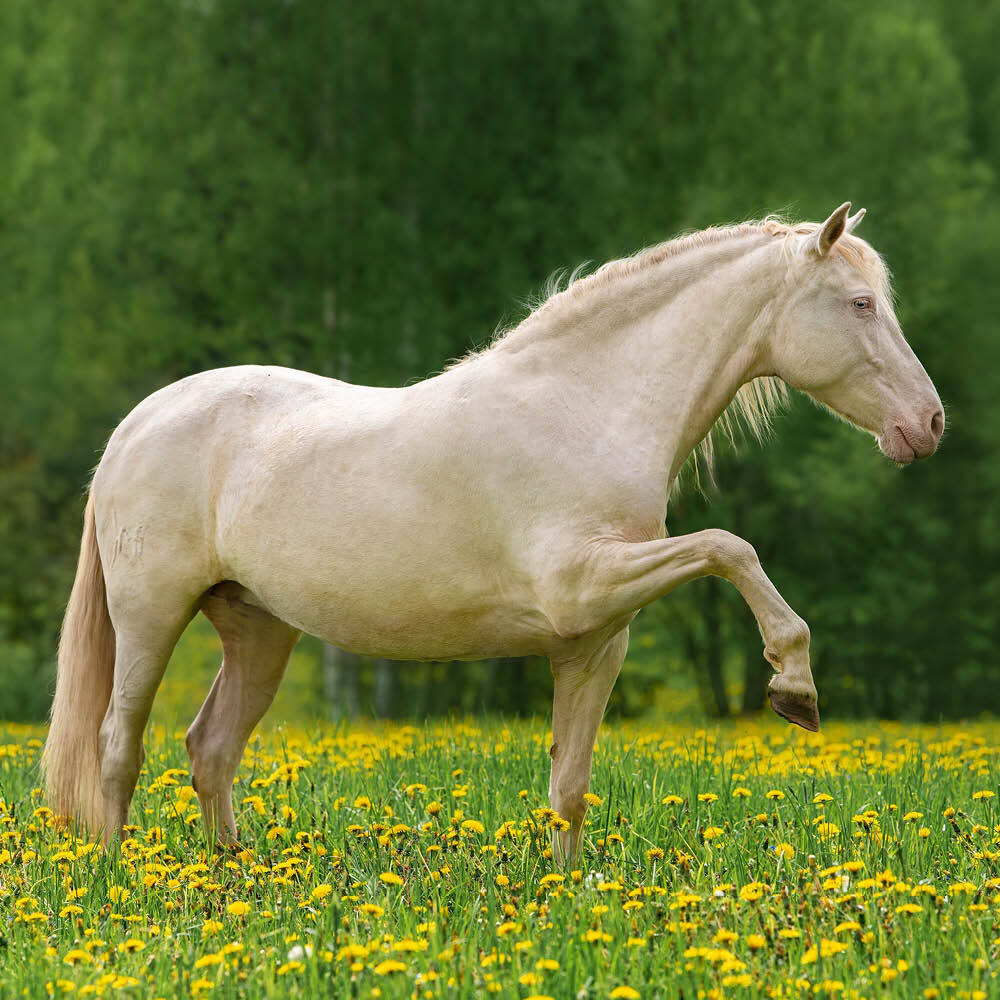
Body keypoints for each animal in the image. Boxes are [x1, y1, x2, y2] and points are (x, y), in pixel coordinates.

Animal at [42, 202, 943, 859]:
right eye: (860, 303)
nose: (928, 424)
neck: (587, 408)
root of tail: (135, 426)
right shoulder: (584, 585)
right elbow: (732, 548)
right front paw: (794, 684)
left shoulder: (595, 641)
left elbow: (569, 787)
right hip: (150, 617)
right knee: (119, 746)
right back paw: (119, 879)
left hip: (259, 630)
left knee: (211, 748)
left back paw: (233, 877)